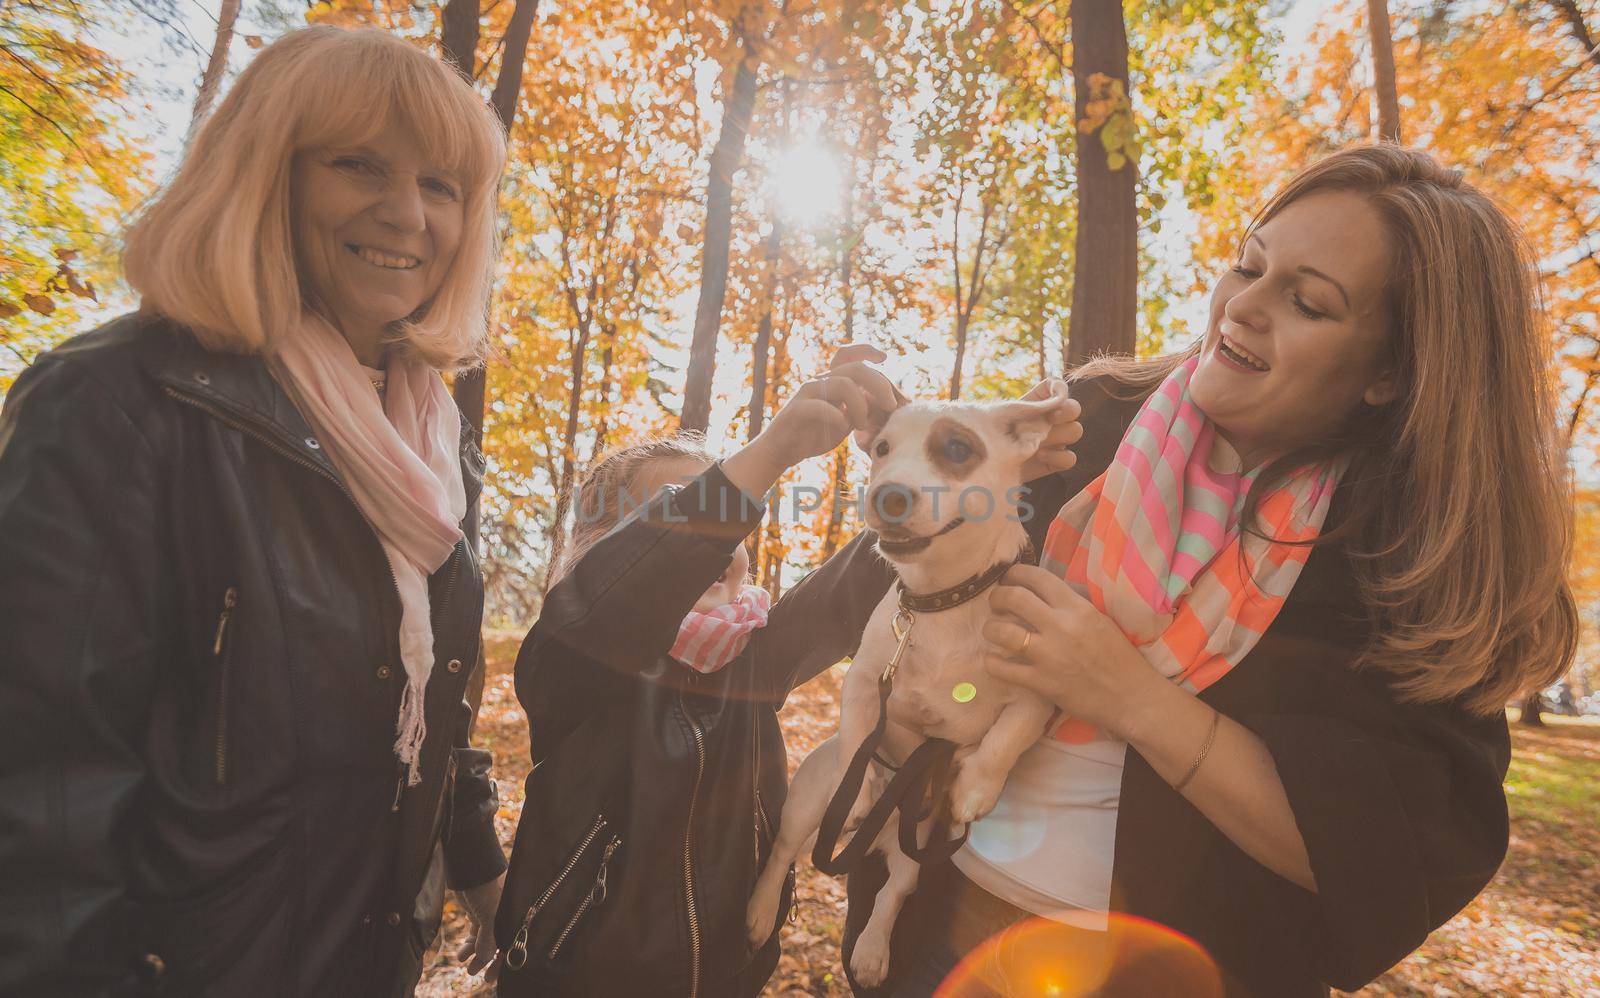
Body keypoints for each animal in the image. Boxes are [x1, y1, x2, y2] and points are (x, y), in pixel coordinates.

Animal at [742, 385, 1068, 985]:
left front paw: (975, 787)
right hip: (807, 802)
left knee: (893, 892)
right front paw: (859, 784)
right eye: (882, 449)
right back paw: (758, 911)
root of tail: (872, 840)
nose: (887, 495)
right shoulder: (865, 680)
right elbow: (857, 740)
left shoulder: (1041, 682)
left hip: (913, 851)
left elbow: (1008, 733)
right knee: (782, 852)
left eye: (958, 448)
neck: (942, 600)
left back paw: (872, 951)